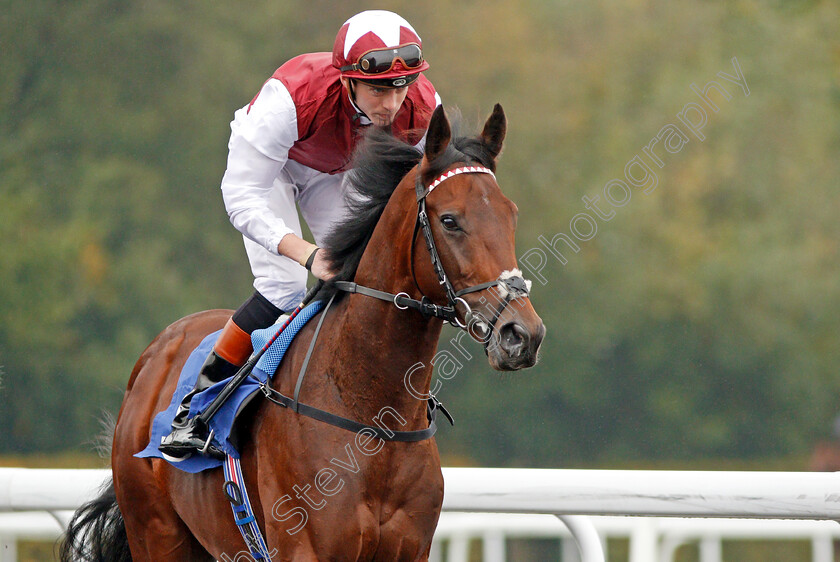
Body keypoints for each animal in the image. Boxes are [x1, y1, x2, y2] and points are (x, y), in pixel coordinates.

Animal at [59, 104, 544, 556]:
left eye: (512, 214)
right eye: (449, 220)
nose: (522, 335)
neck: (372, 413)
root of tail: (155, 354)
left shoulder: (412, 548)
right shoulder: (305, 547)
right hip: (156, 532)